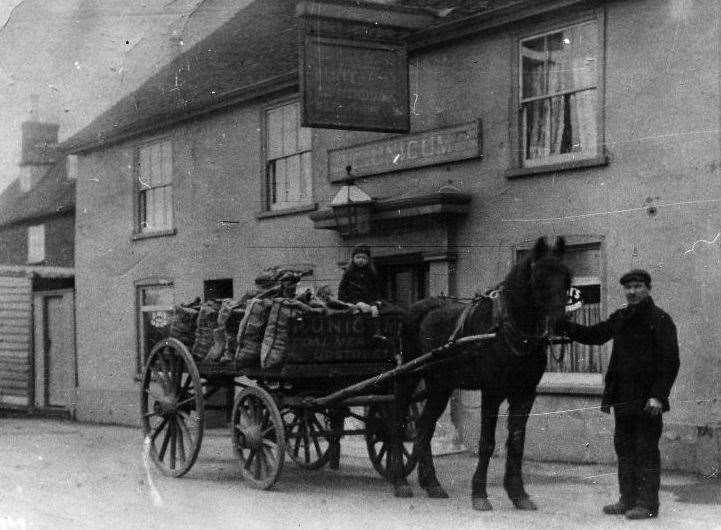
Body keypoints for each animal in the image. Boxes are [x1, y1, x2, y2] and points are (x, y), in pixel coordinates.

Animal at [390, 235, 572, 508]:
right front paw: (480, 494)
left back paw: (431, 483)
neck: (508, 329)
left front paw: (518, 494)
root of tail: (415, 307)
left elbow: (516, 442)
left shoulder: (525, 393)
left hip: (440, 384)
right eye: (539, 278)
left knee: (424, 426)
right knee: (397, 420)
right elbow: (487, 442)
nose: (560, 323)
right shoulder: (492, 392)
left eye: (567, 277)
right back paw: (399, 480)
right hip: (409, 376)